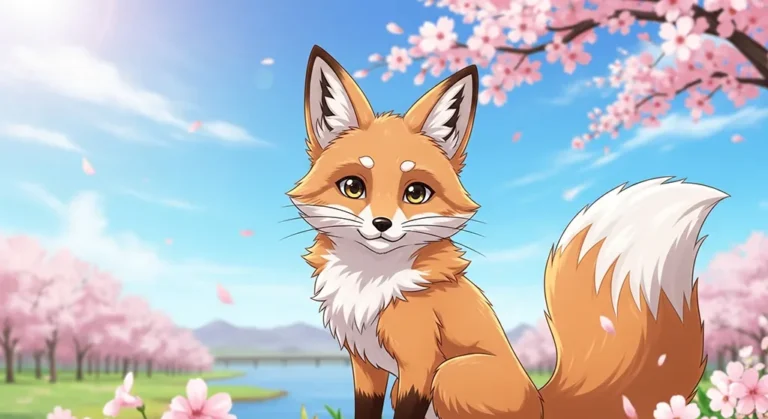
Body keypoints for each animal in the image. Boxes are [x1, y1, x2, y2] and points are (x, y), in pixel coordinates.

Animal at [288, 45, 727, 419]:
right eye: (353, 187)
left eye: (415, 193)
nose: (382, 225)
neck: (370, 284)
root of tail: (541, 402)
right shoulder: (365, 366)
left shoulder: (419, 365)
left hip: (451, 376)